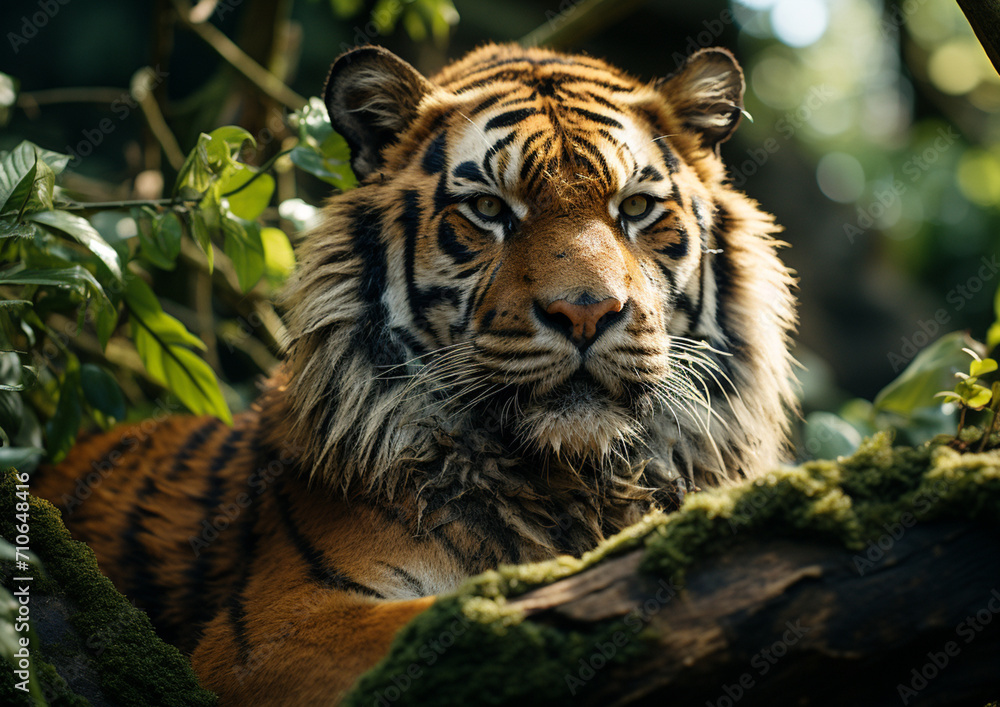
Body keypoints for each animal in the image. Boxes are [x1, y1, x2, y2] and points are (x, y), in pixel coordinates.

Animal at [32, 42, 797, 704]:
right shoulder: (277, 628)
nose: (585, 312)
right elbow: (460, 619)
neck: (568, 483)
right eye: (488, 208)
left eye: (635, 208)